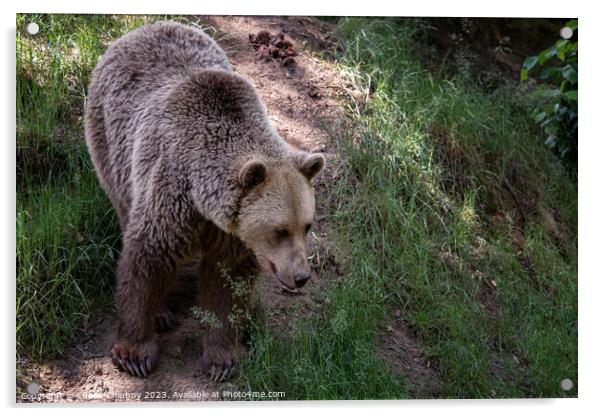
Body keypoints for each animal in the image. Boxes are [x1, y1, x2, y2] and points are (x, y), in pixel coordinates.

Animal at [84, 22, 324, 380]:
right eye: (279, 230)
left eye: (306, 226)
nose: (301, 276)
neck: (203, 198)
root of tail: (145, 28)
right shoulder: (172, 192)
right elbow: (147, 259)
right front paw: (135, 352)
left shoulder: (233, 231)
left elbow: (226, 284)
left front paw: (222, 358)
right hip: (112, 147)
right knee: (125, 208)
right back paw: (162, 313)